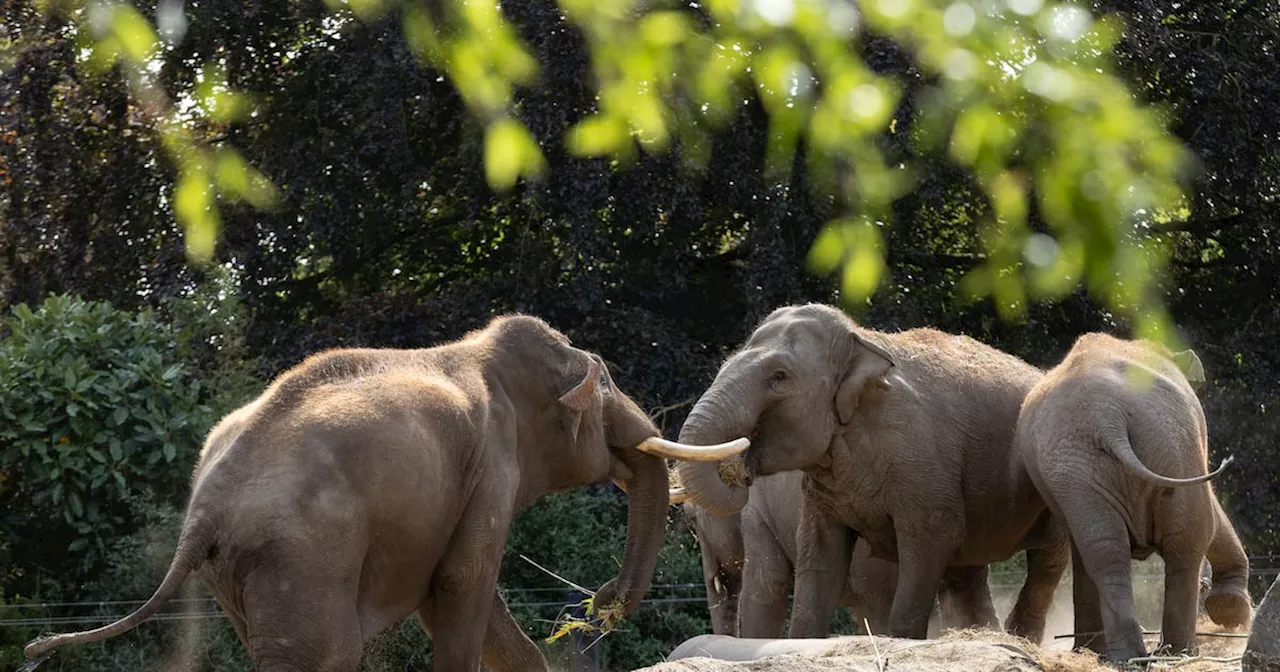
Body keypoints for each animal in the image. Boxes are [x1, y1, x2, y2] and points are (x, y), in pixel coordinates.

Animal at [20, 314, 747, 670]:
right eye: (606, 395)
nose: (600, 601)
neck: (483, 353)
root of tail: (202, 509)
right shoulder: (492, 465)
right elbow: (462, 587)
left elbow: (470, 604)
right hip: (304, 556)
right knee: (326, 656)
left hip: (239, 574)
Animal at [1013, 330, 1254, 660]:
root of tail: (1107, 415)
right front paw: (1232, 611)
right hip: (1168, 440)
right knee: (1188, 537)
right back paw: (1178, 650)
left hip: (1085, 462)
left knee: (1105, 549)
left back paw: (1125, 654)